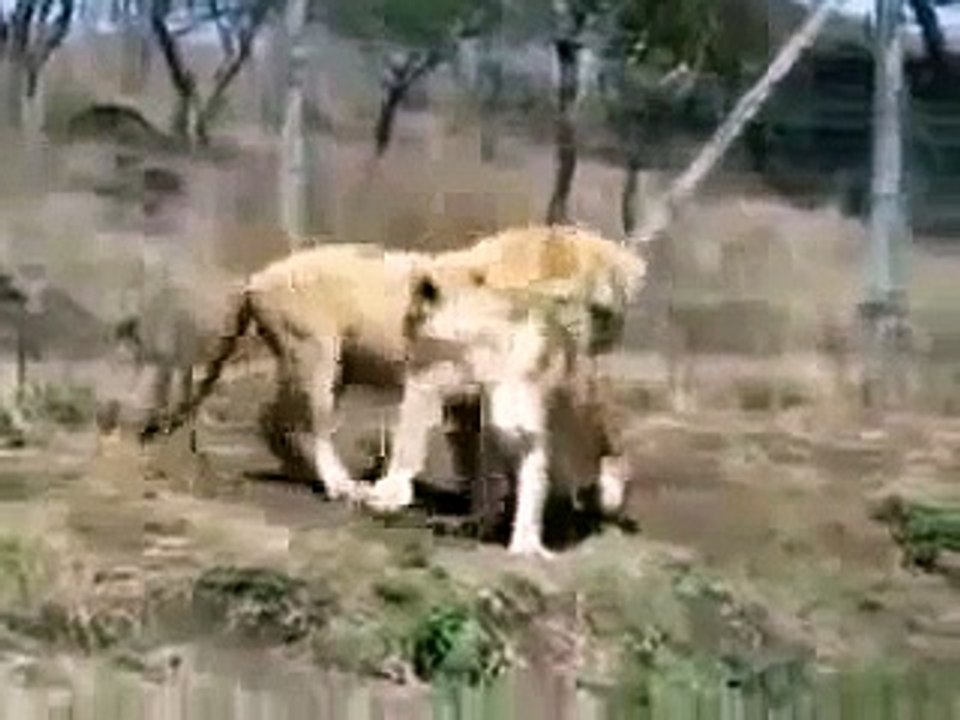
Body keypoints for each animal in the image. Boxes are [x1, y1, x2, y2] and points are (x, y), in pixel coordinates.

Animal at [138, 224, 645, 503]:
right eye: (572, 301)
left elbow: (470, 450)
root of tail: (255, 278)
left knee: (274, 418)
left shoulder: (470, 395)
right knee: (314, 424)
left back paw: (303, 473)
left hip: (325, 366)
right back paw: (341, 486)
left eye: (605, 309)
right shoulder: (448, 375)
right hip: (317, 355)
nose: (584, 343)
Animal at [363, 275, 634, 558]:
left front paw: (526, 546)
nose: (405, 359)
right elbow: (489, 485)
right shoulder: (491, 429)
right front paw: (483, 526)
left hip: (607, 478)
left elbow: (533, 487)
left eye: (411, 332)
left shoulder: (531, 432)